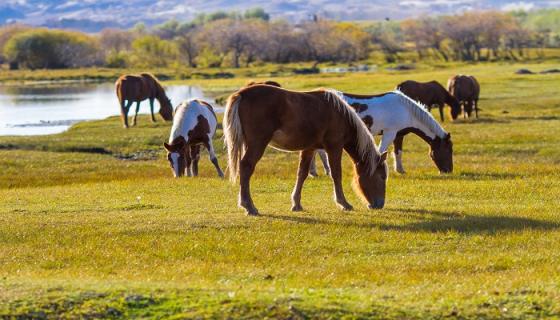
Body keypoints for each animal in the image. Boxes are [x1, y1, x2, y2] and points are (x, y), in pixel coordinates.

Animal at [221, 84, 388, 216]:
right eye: (381, 177)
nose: (379, 204)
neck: (339, 114)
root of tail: (241, 94)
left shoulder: (309, 148)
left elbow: (302, 174)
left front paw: (296, 204)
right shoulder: (334, 147)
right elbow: (336, 174)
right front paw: (343, 203)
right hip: (257, 144)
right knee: (246, 167)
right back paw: (249, 206)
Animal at [312, 90, 452, 175]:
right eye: (448, 151)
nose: (448, 171)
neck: (405, 110)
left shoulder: (398, 135)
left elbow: (398, 152)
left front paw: (400, 170)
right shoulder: (389, 133)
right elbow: (381, 150)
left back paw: (315, 172)